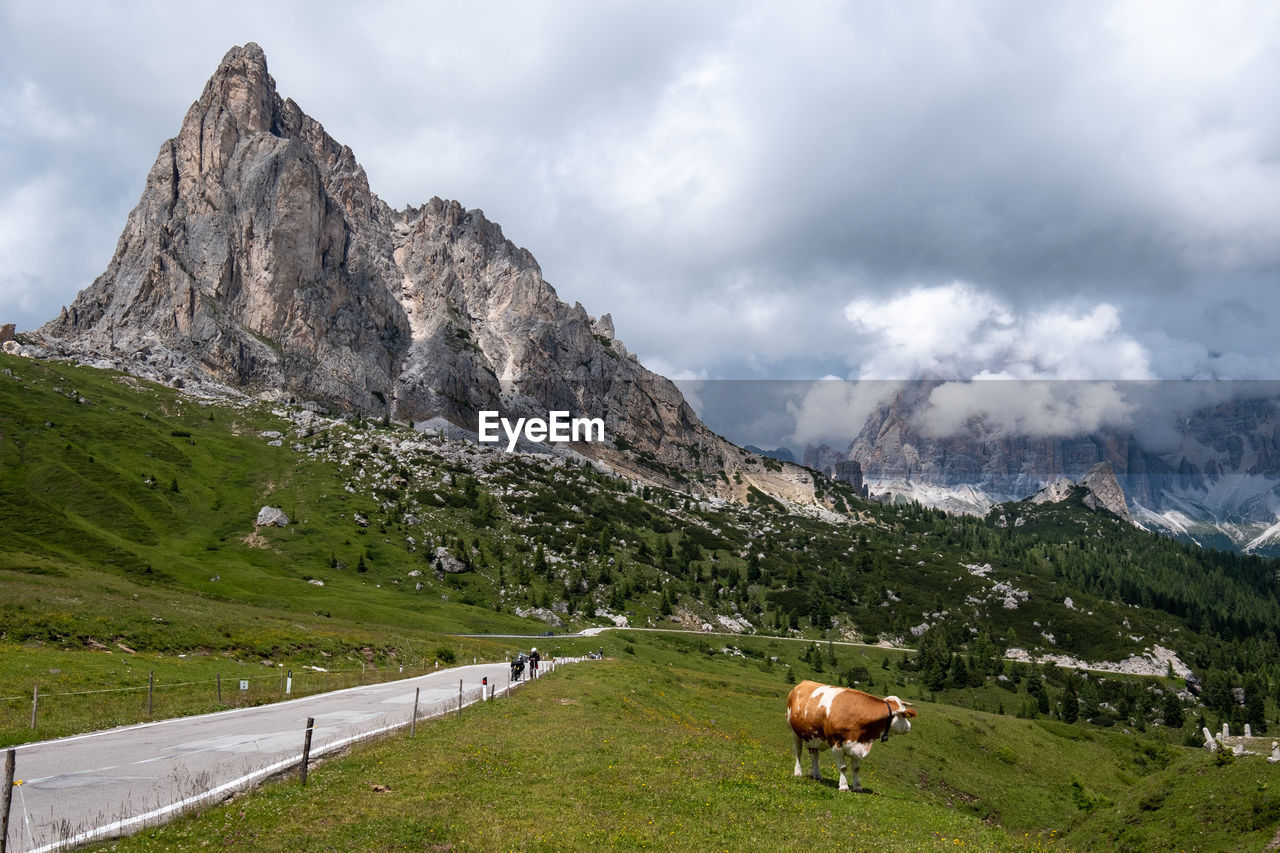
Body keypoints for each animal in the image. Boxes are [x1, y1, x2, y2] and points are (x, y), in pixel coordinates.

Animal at [783, 676, 916, 788]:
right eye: (904, 715)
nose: (909, 726)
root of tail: (802, 683)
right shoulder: (836, 743)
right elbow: (843, 767)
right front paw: (844, 786)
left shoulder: (858, 744)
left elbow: (856, 768)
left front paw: (857, 787)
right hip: (794, 732)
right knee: (798, 752)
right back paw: (798, 772)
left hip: (812, 736)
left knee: (814, 755)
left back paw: (817, 775)